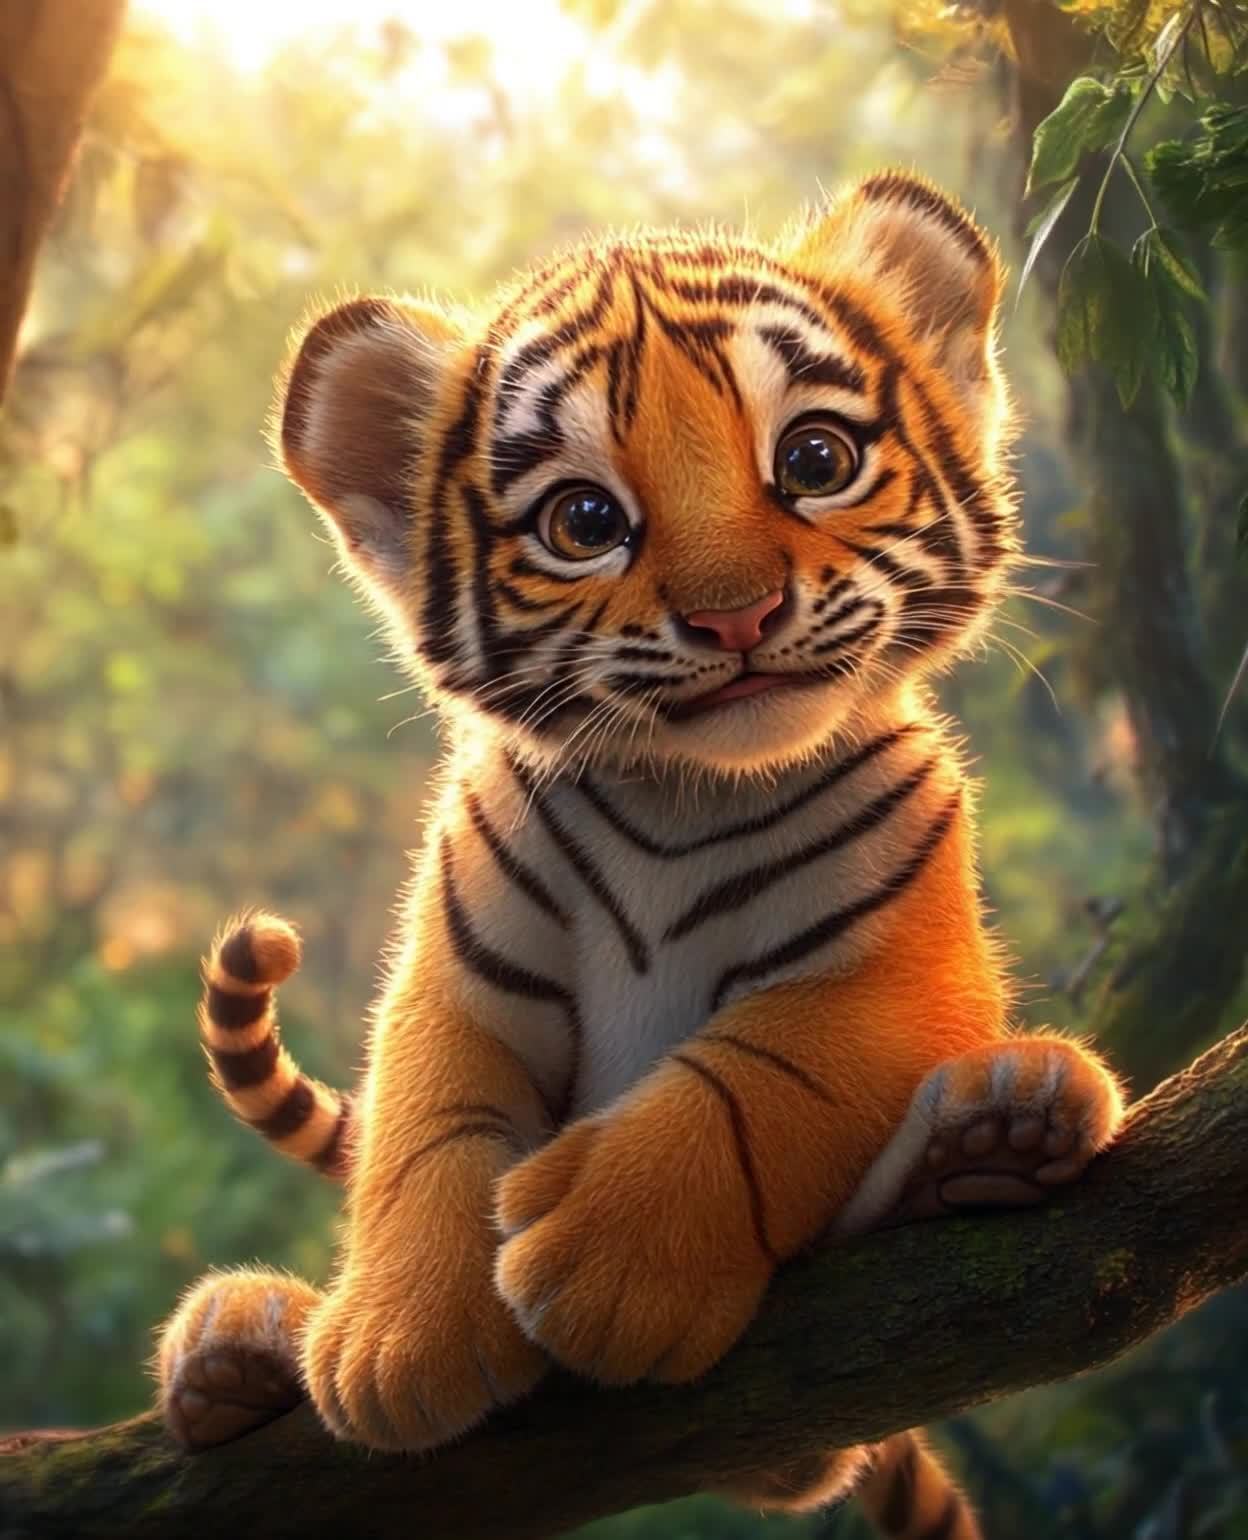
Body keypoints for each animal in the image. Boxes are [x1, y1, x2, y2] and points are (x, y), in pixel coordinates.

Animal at [155, 171, 1125, 1539]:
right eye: (584, 522)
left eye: (814, 460)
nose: (737, 615)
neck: (685, 794)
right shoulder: (460, 973)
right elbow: (430, 1125)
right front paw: (399, 1343)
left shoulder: (905, 962)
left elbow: (758, 1074)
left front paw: (604, 1260)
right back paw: (239, 1350)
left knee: (802, 1457)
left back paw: (996, 1138)